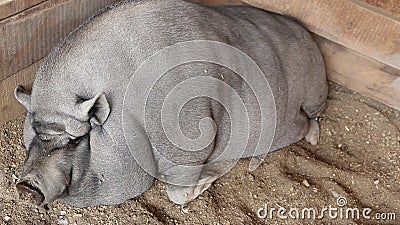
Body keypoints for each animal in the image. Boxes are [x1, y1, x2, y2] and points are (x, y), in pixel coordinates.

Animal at [15, 0, 328, 207]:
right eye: (35, 132)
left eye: (75, 140)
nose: (25, 186)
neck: (130, 117)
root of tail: (307, 35)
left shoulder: (191, 139)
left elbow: (177, 193)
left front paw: (209, 178)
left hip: (304, 104)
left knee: (308, 120)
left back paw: (312, 138)